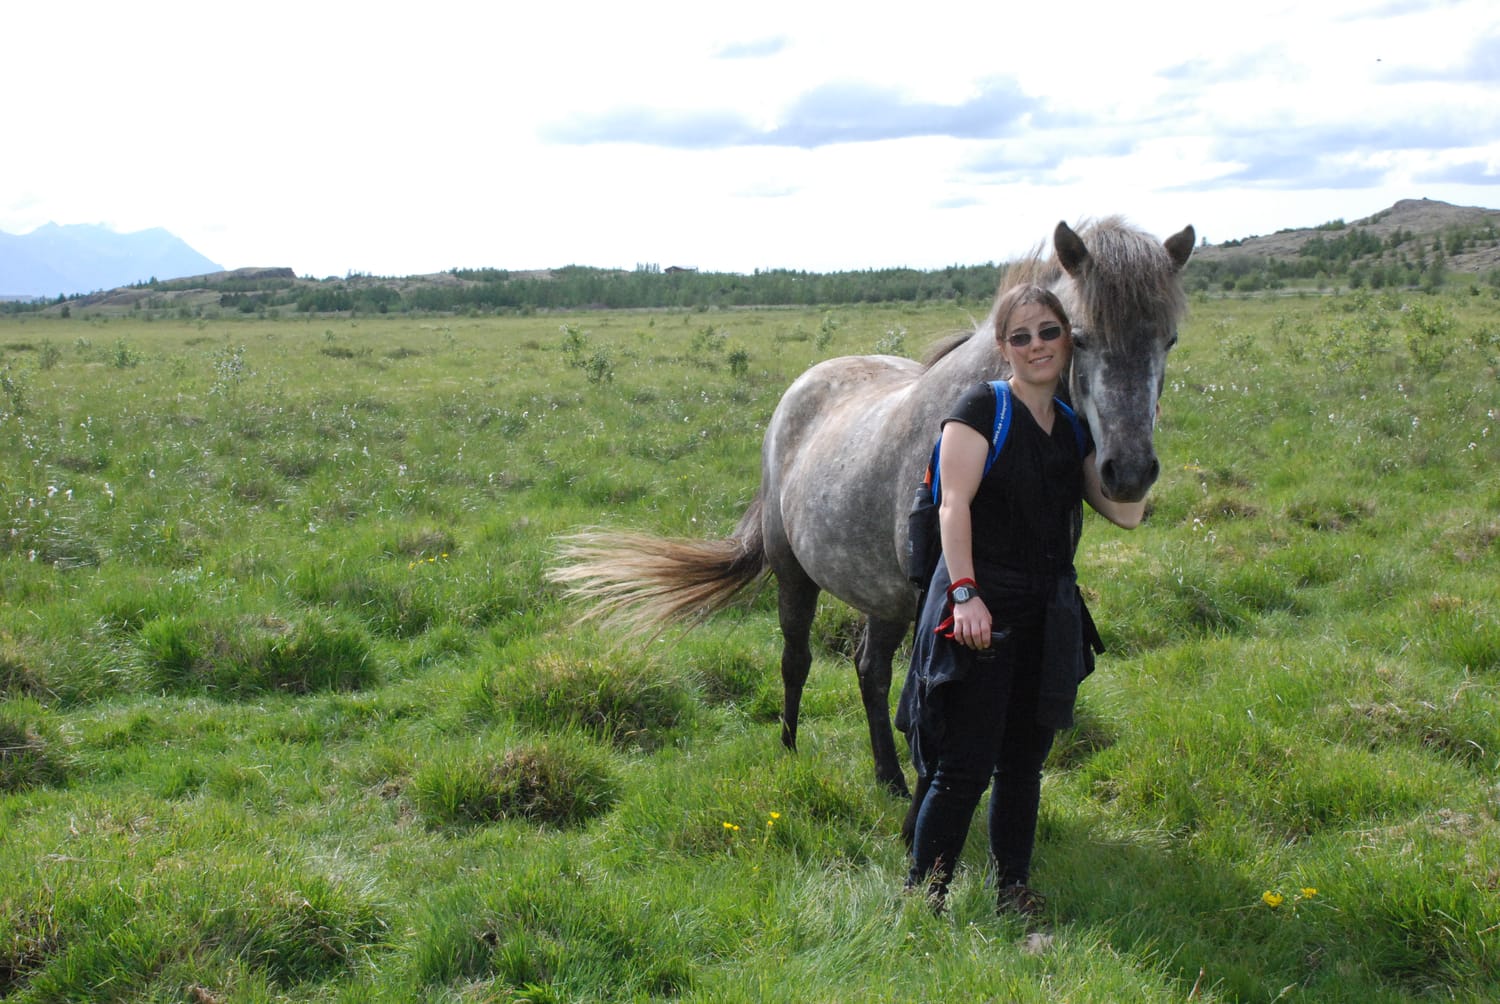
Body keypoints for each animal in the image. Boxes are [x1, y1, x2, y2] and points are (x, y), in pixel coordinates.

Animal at [550, 217, 1195, 796]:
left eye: (1168, 340)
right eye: (1078, 336)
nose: (1128, 472)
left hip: (880, 594)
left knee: (868, 669)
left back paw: (887, 773)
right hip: (799, 576)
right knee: (799, 659)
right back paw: (797, 747)